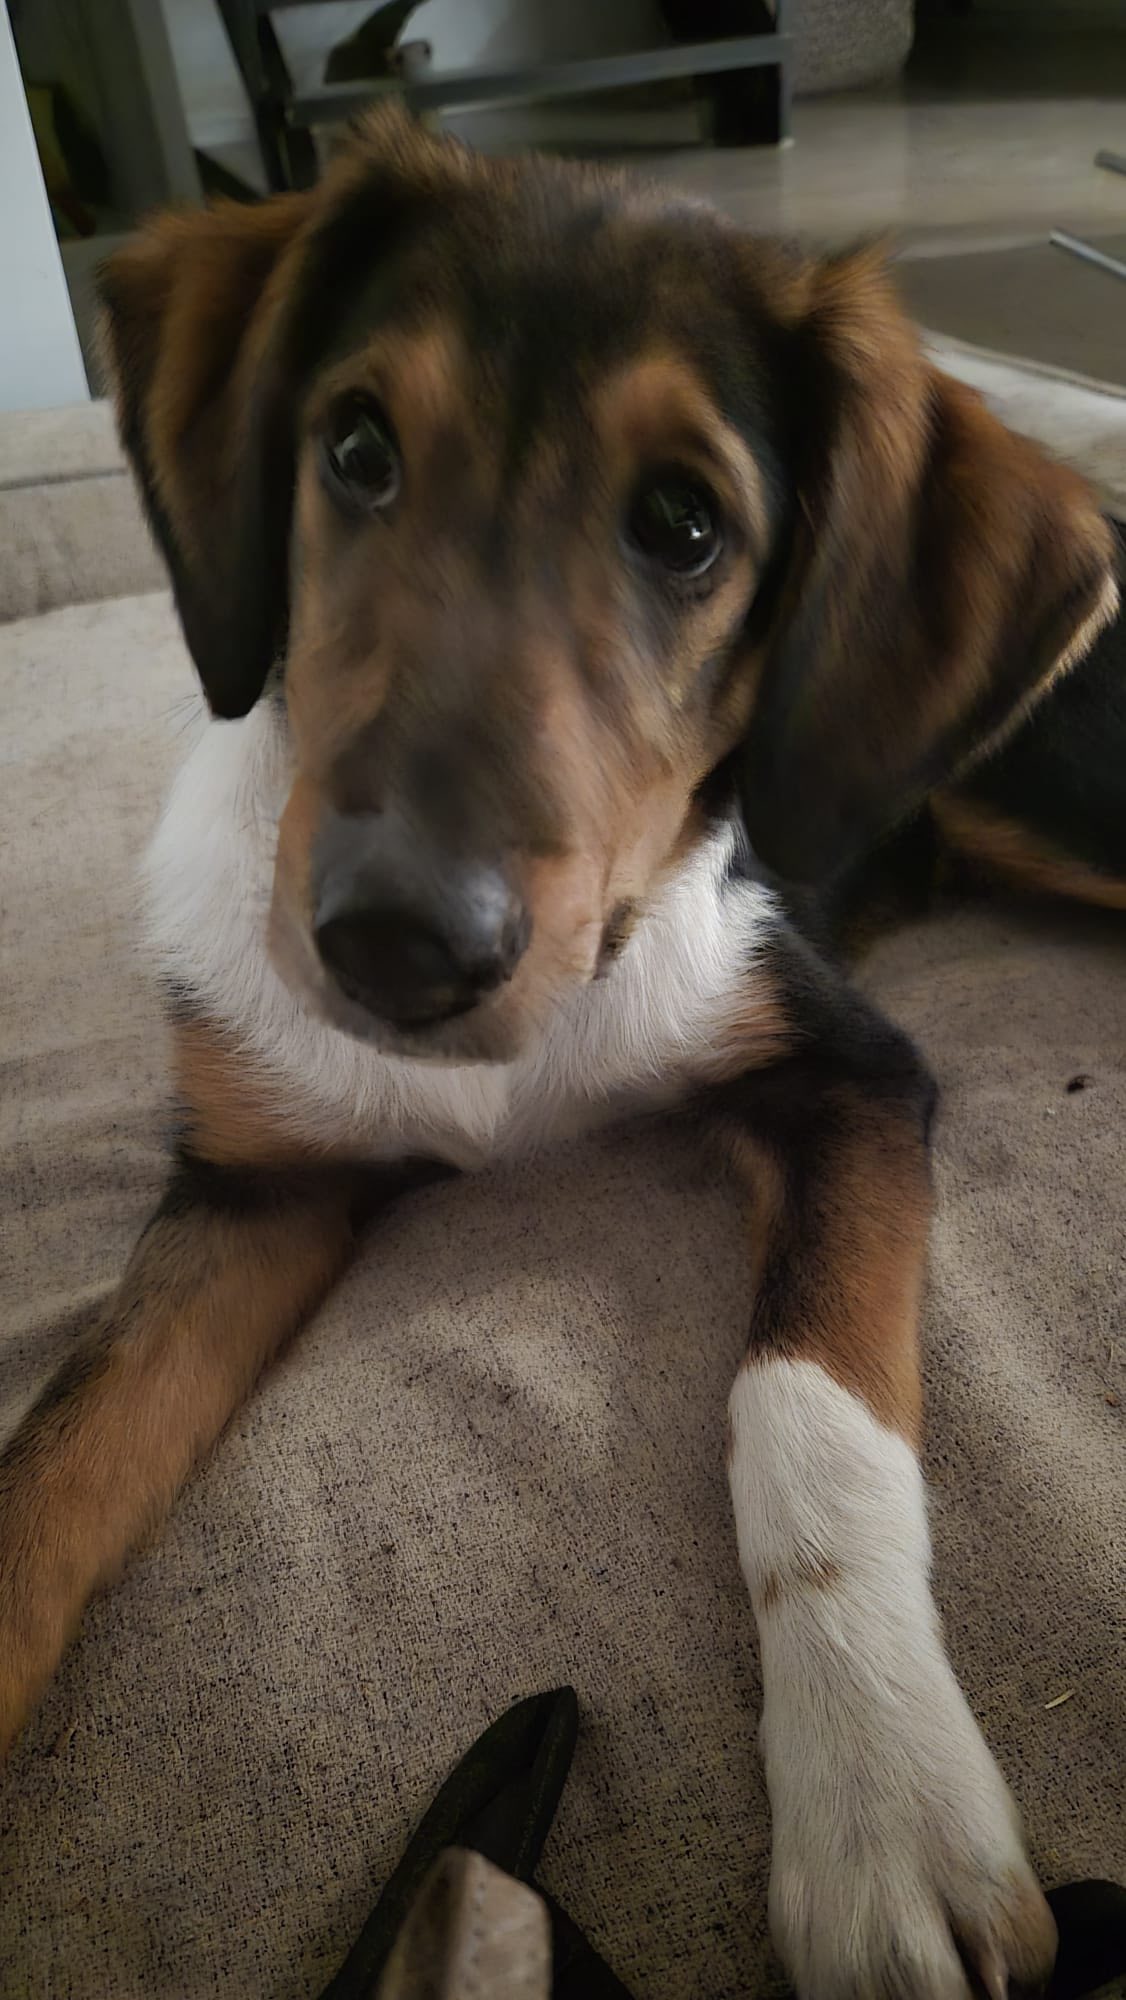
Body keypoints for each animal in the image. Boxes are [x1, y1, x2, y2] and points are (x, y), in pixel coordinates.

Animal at [2, 108, 1124, 1999]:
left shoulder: (848, 1068)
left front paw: (881, 1800)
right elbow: (61, 1450)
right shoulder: (247, 1188)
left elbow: (804, 1402)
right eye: (355, 452)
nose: (394, 943)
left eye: (684, 527)